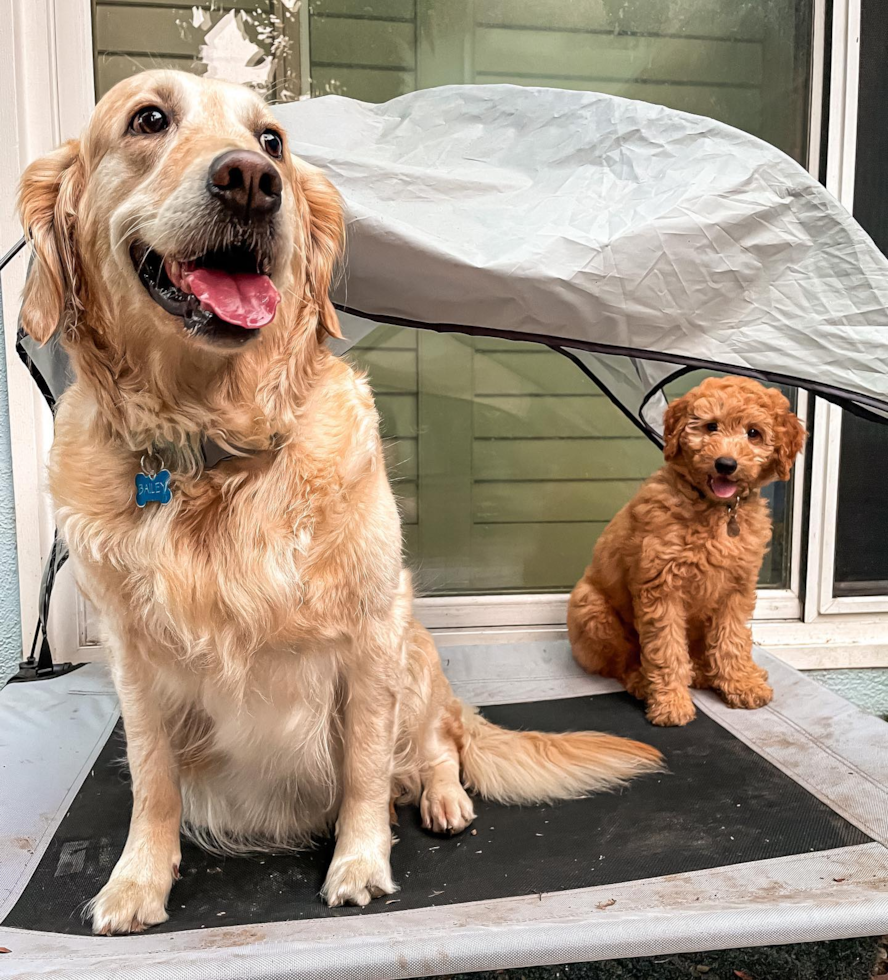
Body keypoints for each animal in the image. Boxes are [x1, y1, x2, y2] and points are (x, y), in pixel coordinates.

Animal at [568, 376, 804, 728]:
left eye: (753, 433)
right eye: (710, 426)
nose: (726, 464)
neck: (716, 510)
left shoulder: (736, 589)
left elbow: (732, 641)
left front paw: (740, 684)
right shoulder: (661, 589)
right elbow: (666, 650)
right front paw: (671, 704)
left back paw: (715, 672)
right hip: (592, 609)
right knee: (621, 661)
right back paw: (642, 681)